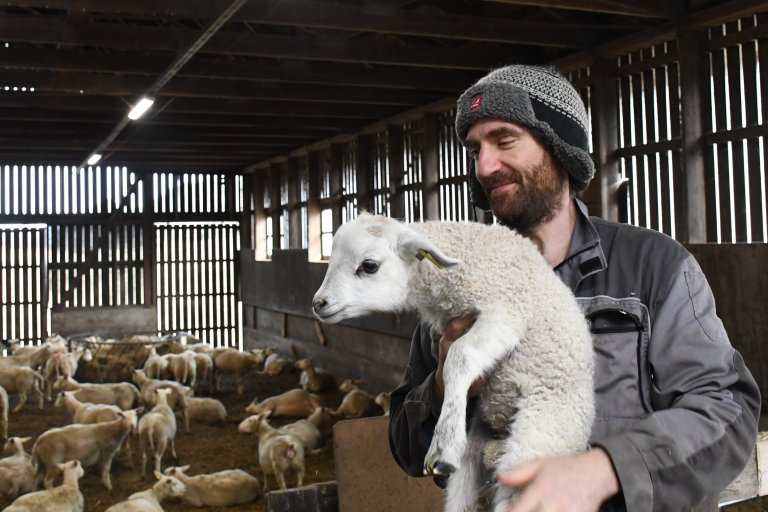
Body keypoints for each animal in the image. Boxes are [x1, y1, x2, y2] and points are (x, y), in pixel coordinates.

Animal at [312, 214, 592, 512]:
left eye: (369, 266)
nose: (318, 303)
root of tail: (495, 450)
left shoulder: (507, 313)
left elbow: (459, 356)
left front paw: (443, 444)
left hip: (536, 443)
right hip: (473, 459)